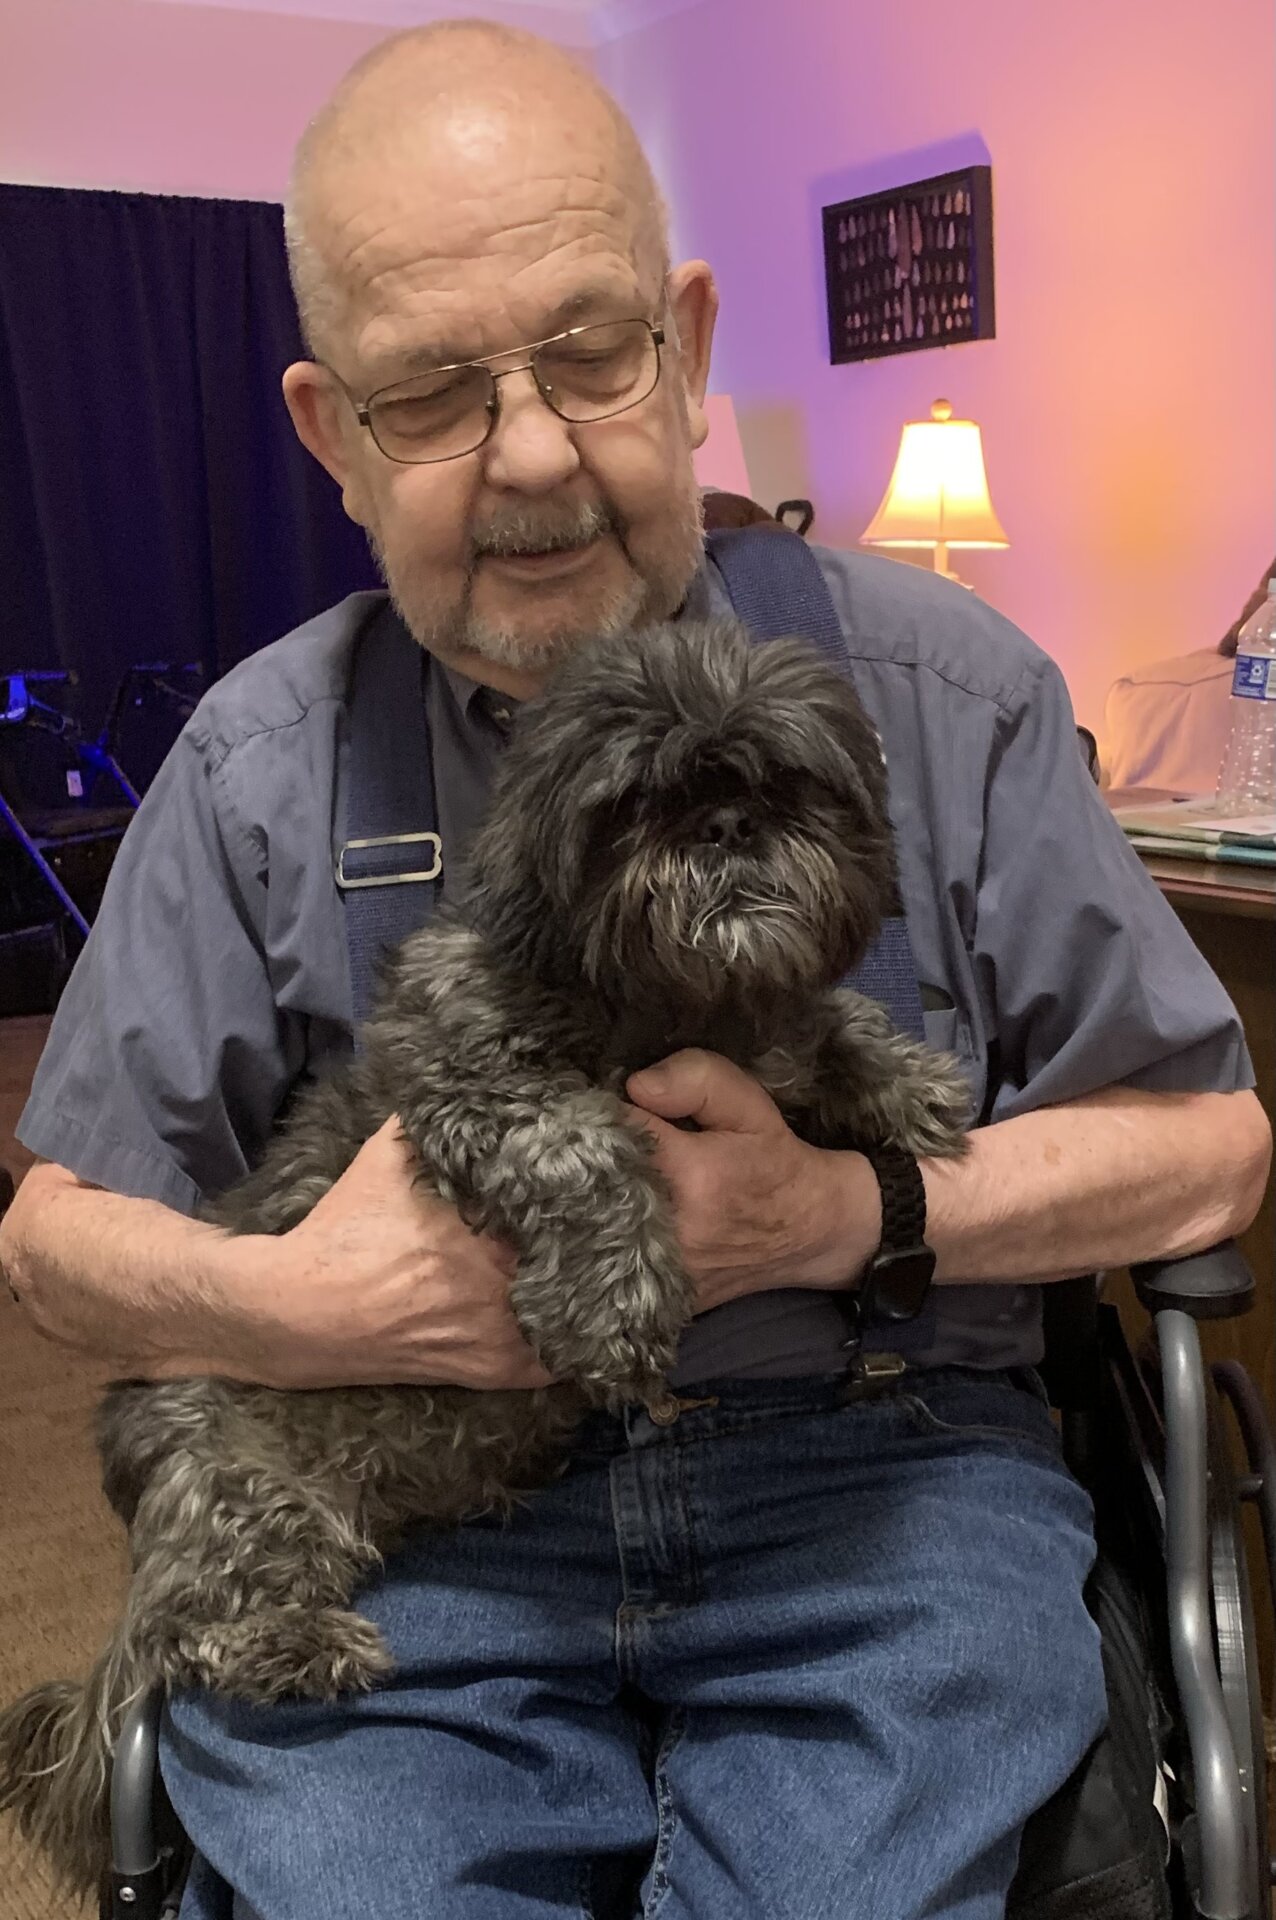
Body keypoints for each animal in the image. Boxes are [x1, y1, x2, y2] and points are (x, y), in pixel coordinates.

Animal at [0, 614, 967, 1889]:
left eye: (786, 785)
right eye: (636, 803)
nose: (726, 826)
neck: (678, 1001)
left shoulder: (766, 1031)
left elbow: (825, 1025)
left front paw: (902, 1080)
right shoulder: (476, 1078)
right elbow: (588, 1144)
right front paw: (618, 1302)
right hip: (243, 1485)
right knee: (192, 1626)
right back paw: (292, 1644)